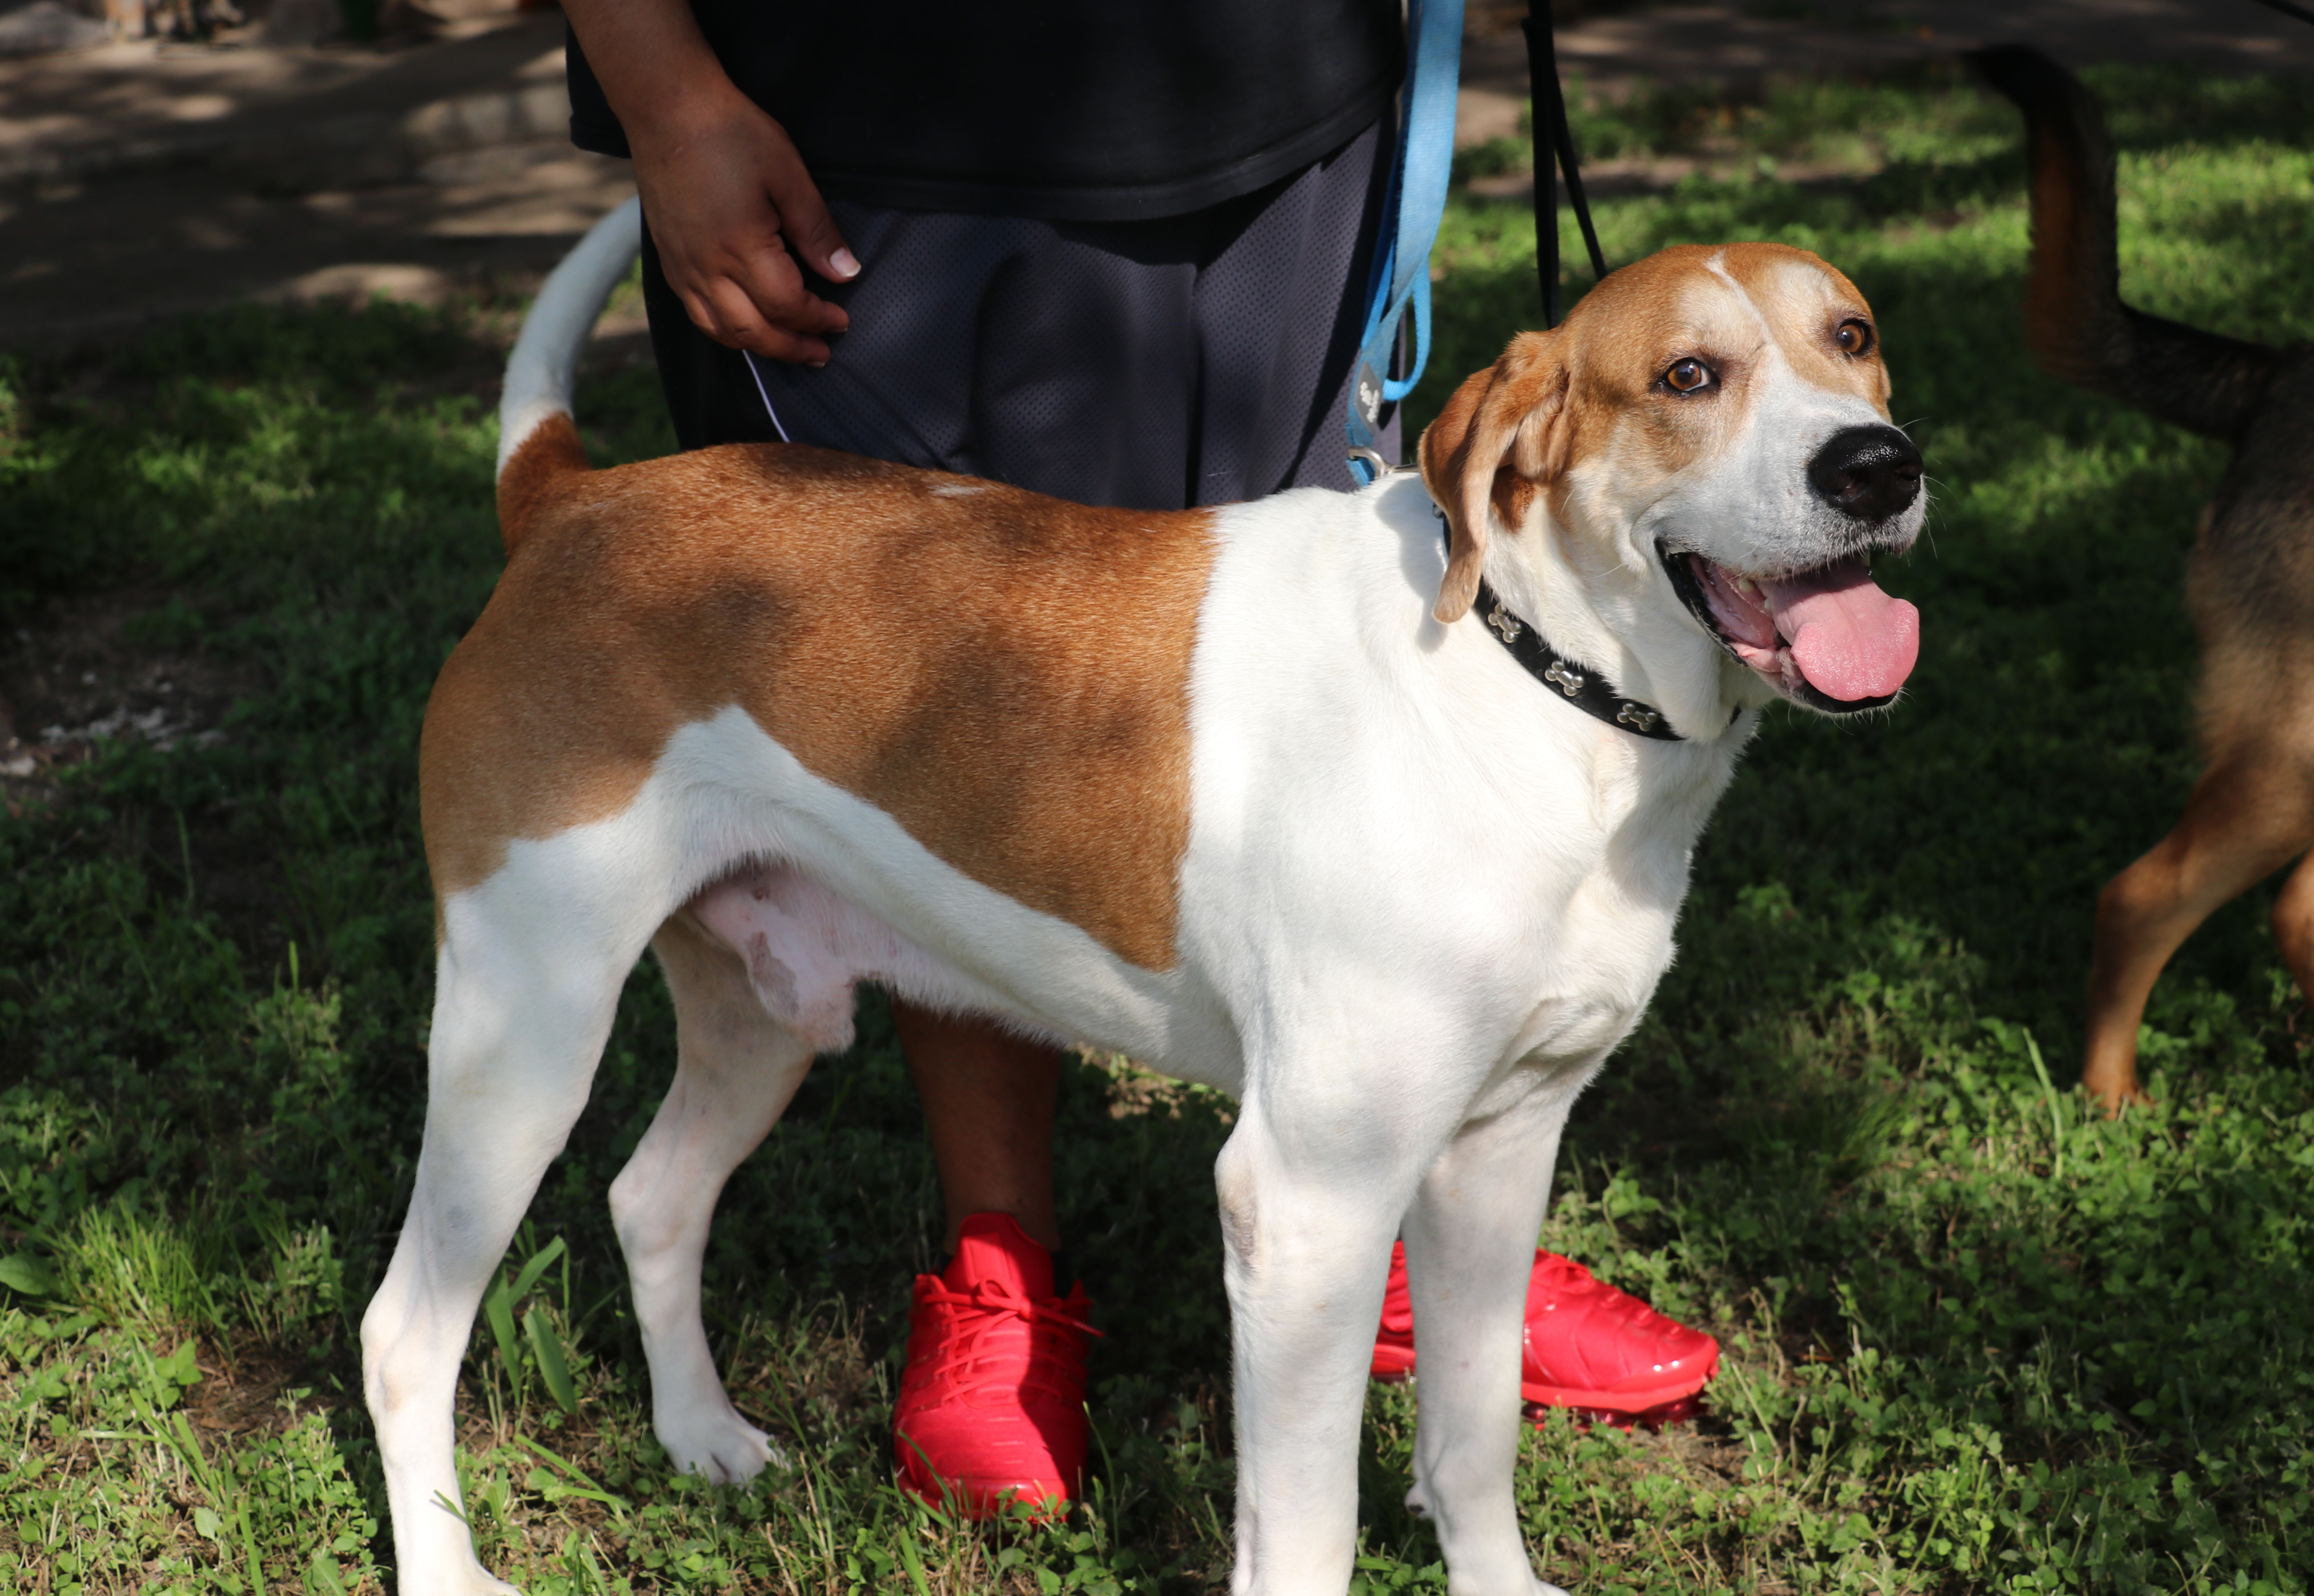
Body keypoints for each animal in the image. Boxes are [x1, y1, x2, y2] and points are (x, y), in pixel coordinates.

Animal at [361, 202, 1916, 1591]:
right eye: (1686, 377)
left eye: (1852, 336)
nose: (1877, 466)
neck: (1525, 673)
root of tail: (575, 497)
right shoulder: (1304, 1200)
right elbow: (1304, 1539)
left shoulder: (1496, 1150)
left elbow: (1472, 1440)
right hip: (524, 1031)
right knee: (401, 1331)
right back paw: (449, 1567)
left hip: (765, 1013)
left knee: (649, 1198)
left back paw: (700, 1436)